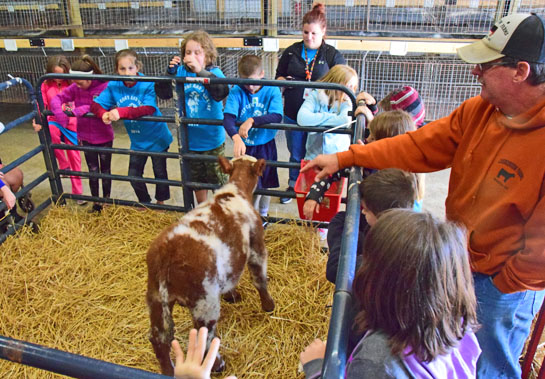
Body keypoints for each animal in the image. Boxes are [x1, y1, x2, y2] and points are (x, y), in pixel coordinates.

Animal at [144, 156, 274, 376]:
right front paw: (268, 305)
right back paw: (218, 364)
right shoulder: (256, 245)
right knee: (202, 339)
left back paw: (169, 371)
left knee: (159, 339)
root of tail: (167, 253)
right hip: (205, 302)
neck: (235, 190)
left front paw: (232, 295)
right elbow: (259, 279)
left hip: (156, 299)